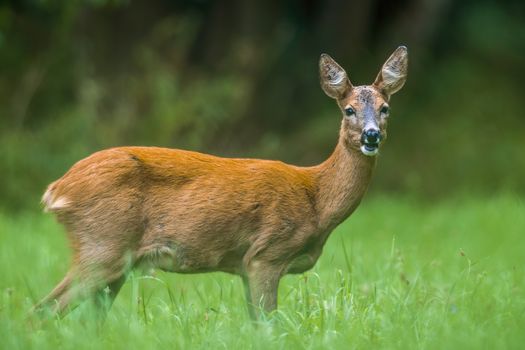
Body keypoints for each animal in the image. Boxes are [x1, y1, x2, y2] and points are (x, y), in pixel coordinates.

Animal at [32, 47, 408, 322]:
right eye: (349, 110)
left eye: (385, 108)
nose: (371, 136)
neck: (316, 198)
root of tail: (57, 190)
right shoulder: (266, 254)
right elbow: (267, 324)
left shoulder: (246, 265)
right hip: (103, 244)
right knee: (42, 310)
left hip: (115, 260)